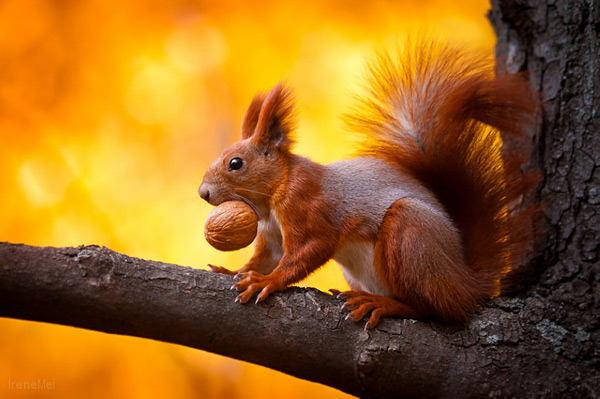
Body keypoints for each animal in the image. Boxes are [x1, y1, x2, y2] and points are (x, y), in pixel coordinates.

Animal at [197, 39, 540, 332]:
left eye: (236, 163)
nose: (203, 193)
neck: (271, 198)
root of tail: (465, 283)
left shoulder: (308, 206)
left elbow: (310, 249)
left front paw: (268, 282)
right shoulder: (272, 235)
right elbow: (265, 259)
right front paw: (236, 272)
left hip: (412, 236)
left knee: (432, 308)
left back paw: (383, 304)